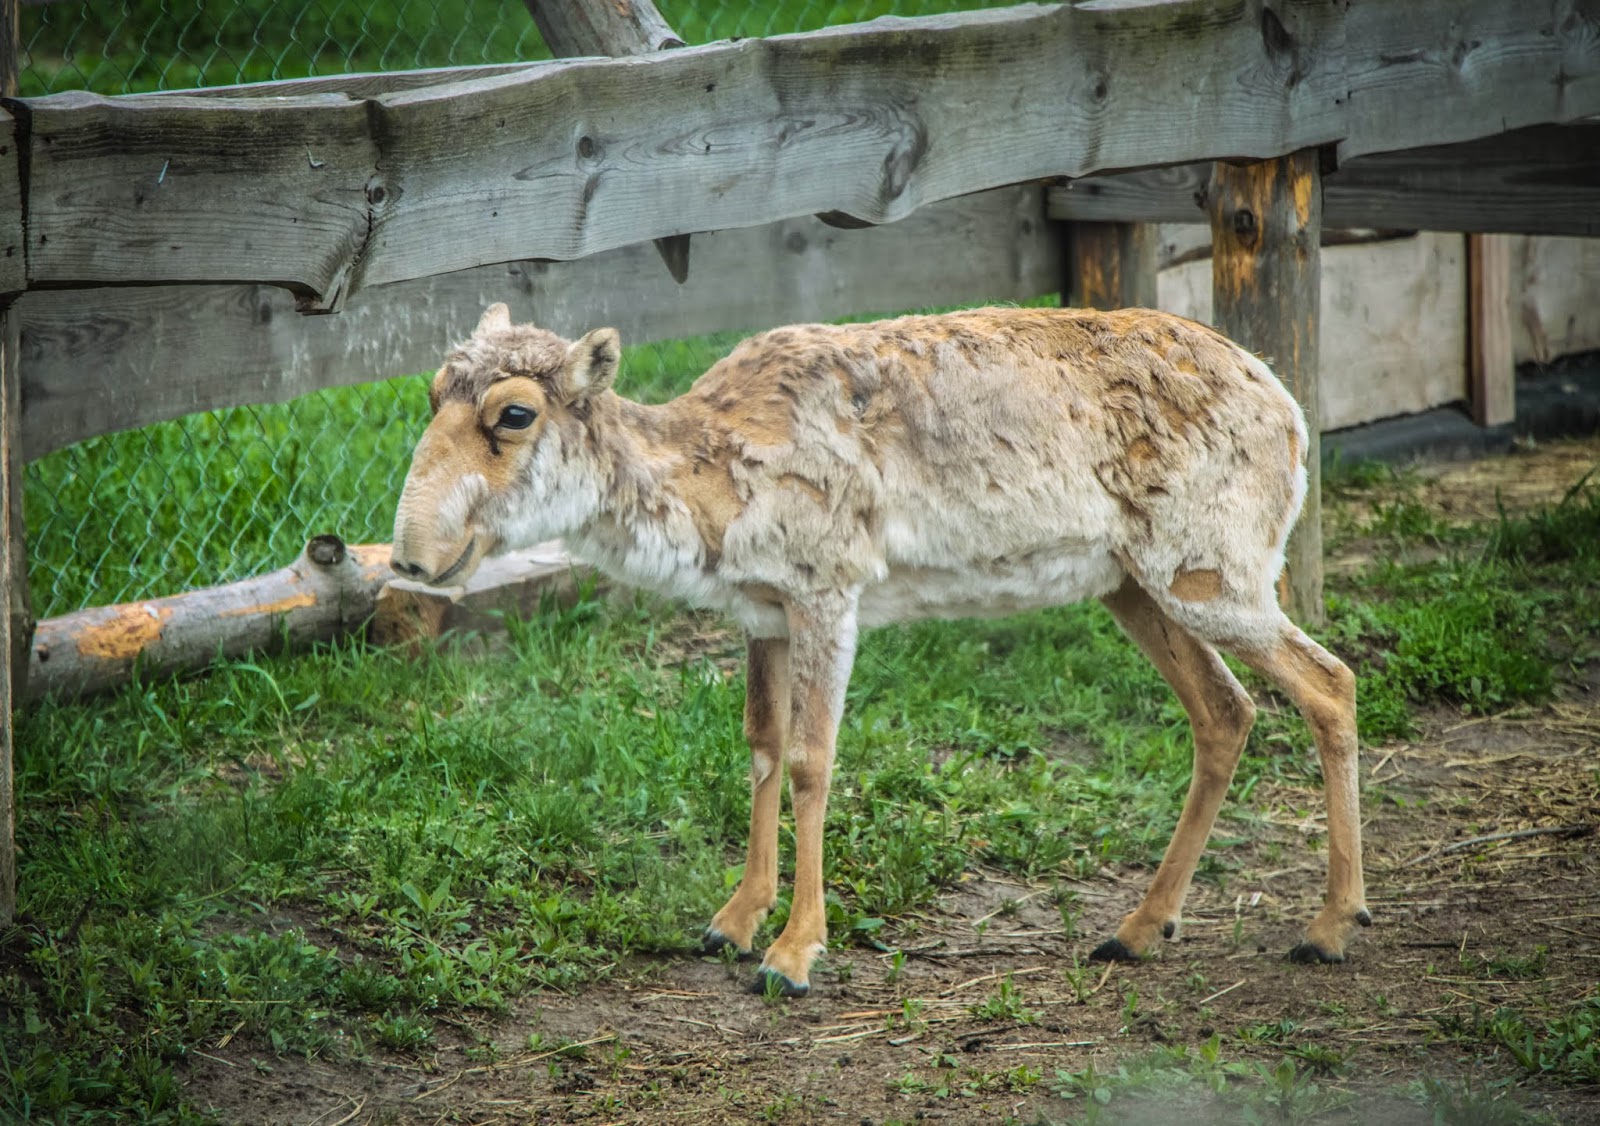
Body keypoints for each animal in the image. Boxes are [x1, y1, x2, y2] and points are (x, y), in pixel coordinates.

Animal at [391, 302, 1368, 997]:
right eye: (431, 394)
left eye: (515, 413)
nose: (410, 557)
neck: (715, 473)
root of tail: (1287, 406)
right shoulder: (765, 614)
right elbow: (761, 747)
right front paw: (734, 919)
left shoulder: (830, 592)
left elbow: (814, 760)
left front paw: (793, 952)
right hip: (1134, 584)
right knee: (1227, 710)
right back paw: (1136, 931)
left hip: (1214, 575)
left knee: (1330, 680)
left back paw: (1328, 928)